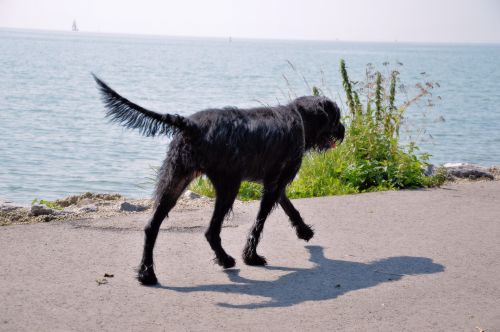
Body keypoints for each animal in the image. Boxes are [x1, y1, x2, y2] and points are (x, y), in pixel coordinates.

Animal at [94, 75, 344, 286]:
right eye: (337, 117)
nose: (343, 130)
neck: (299, 117)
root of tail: (190, 124)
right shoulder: (274, 183)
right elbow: (259, 223)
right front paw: (251, 257)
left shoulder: (274, 183)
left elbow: (289, 207)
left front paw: (304, 231)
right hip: (228, 185)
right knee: (211, 231)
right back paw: (225, 259)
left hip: (175, 181)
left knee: (151, 227)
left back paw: (147, 274)